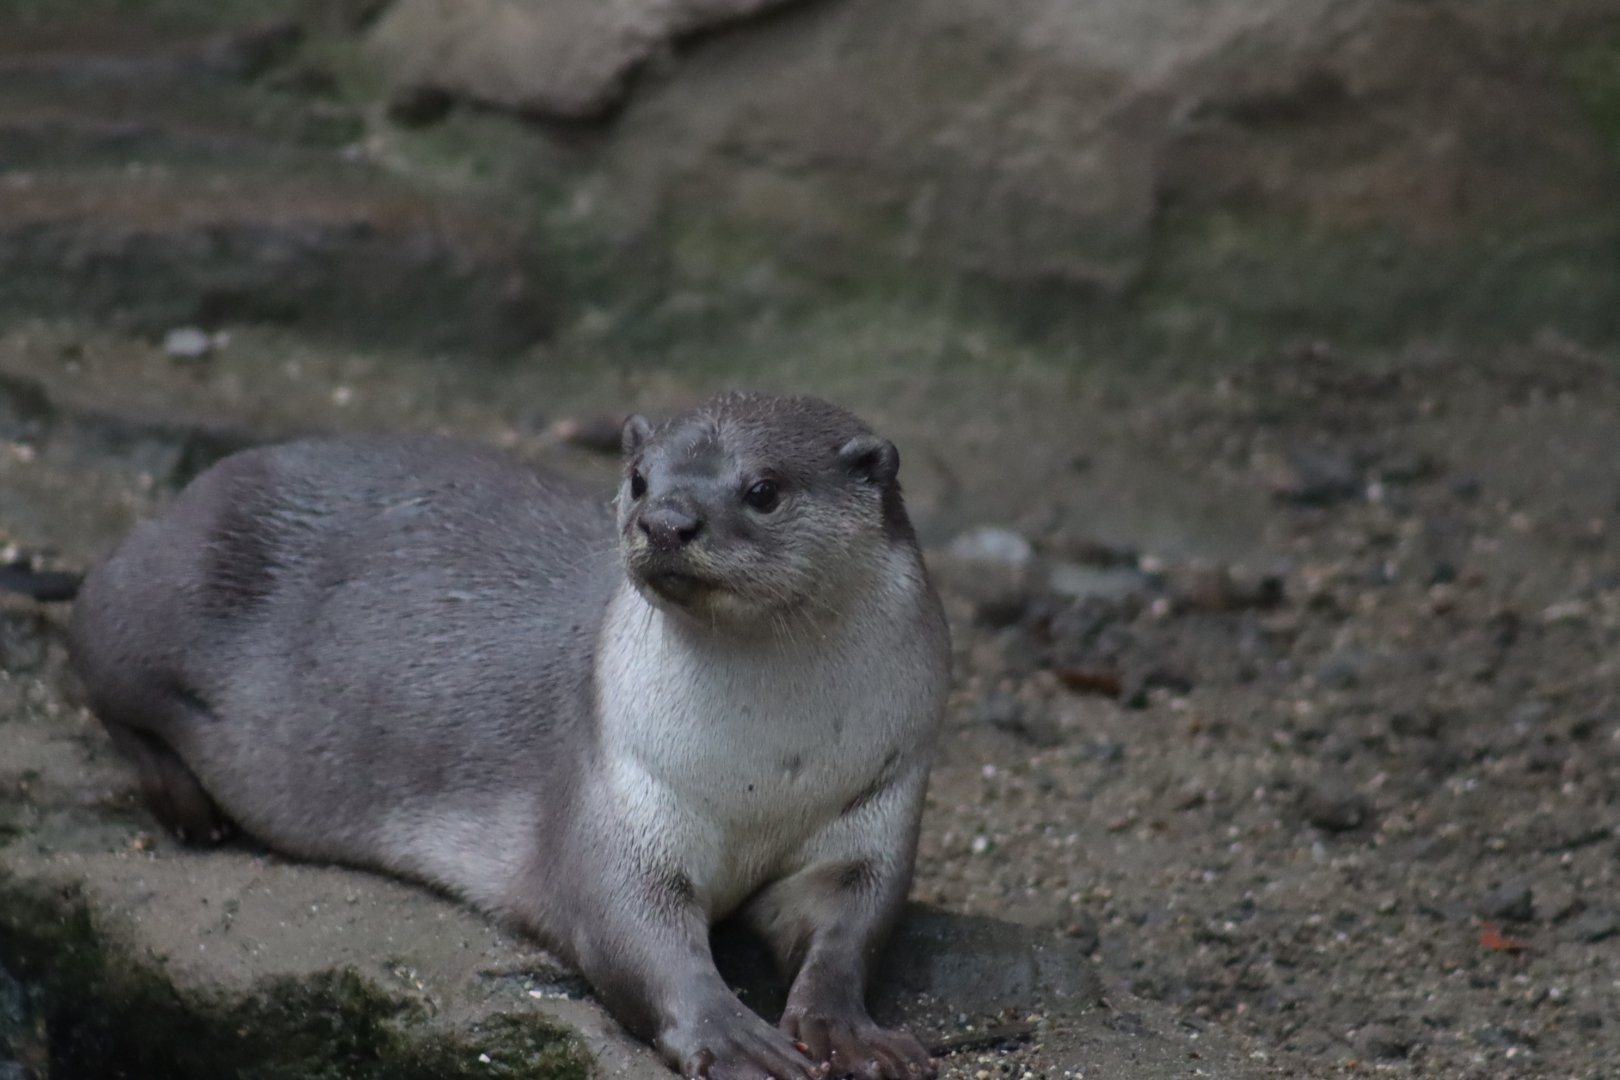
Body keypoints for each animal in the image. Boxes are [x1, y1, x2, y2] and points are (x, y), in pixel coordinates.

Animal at [67, 392, 951, 1080]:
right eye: (638, 480)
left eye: (763, 489)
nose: (667, 520)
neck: (769, 772)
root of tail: (183, 500)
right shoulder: (620, 791)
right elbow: (634, 931)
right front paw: (733, 1034)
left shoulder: (879, 800)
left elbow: (852, 925)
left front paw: (848, 1028)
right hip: (154, 597)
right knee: (96, 659)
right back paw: (187, 805)